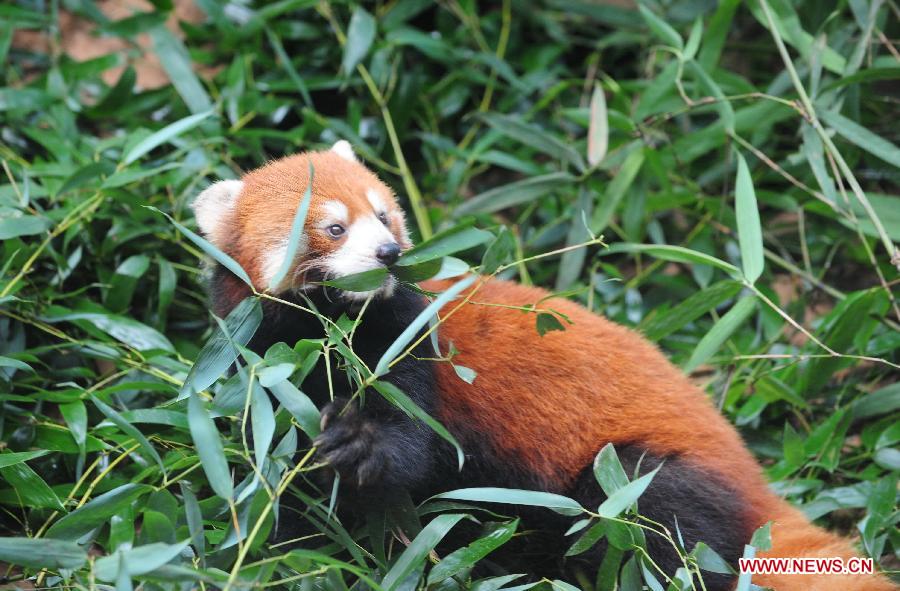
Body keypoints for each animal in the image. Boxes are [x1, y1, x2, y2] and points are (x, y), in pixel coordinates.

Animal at [190, 142, 892, 591]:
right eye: (334, 228)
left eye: (384, 214)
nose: (388, 252)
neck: (332, 336)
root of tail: (750, 473)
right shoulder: (264, 367)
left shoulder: (412, 346)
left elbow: (415, 446)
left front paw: (358, 441)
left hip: (637, 475)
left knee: (663, 532)